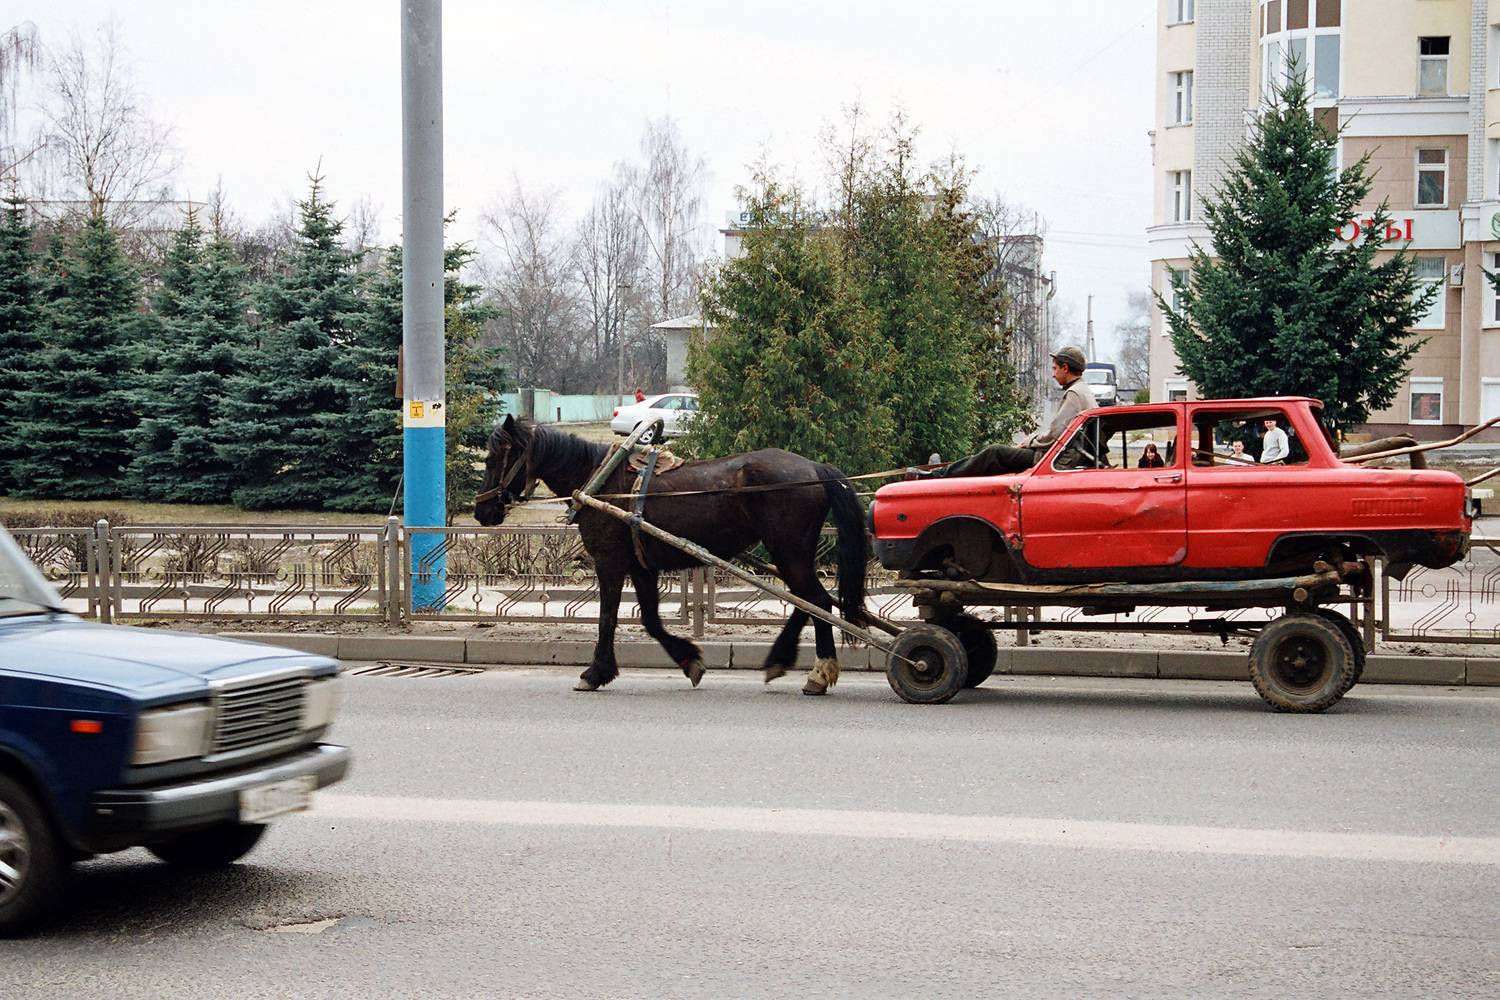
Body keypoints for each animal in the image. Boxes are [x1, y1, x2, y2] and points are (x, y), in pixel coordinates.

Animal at [474, 415, 868, 695]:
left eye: (493, 458)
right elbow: (650, 620)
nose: (481, 512)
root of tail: (815, 469)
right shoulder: (641, 566)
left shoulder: (610, 562)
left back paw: (817, 673)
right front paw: (688, 660)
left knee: (817, 602)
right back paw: (785, 660)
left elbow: (607, 618)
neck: (601, 481)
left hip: (789, 552)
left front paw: (595, 673)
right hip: (789, 555)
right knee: (810, 603)